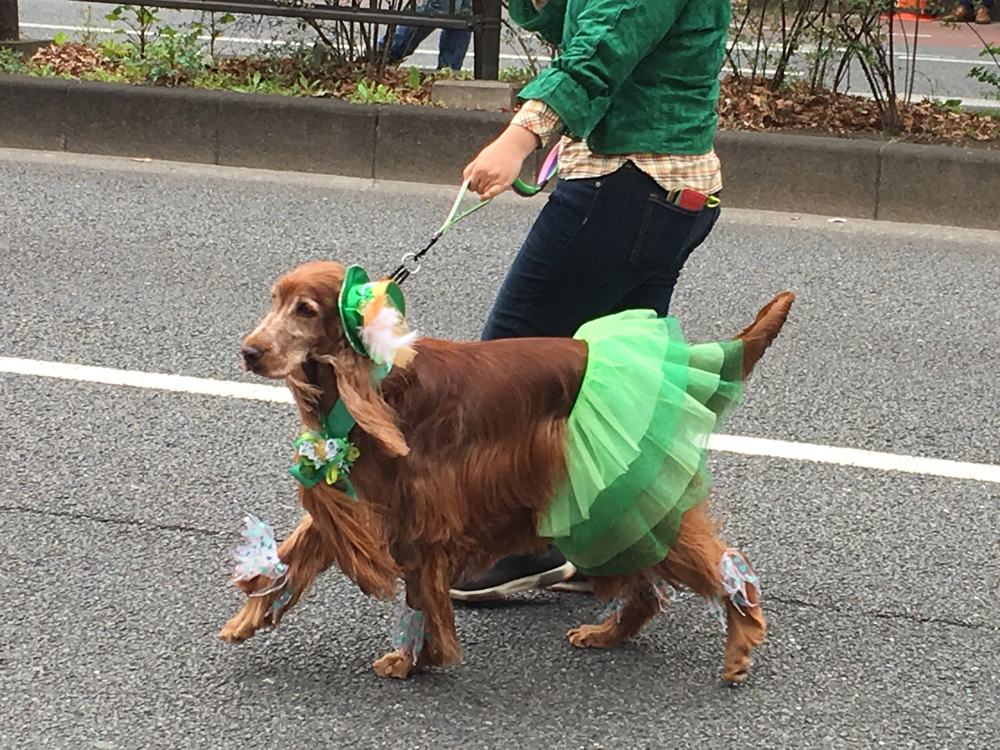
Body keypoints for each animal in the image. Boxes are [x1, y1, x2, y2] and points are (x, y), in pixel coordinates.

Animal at [220, 260, 794, 683]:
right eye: (274, 301)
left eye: (306, 309)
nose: (250, 351)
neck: (383, 384)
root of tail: (670, 369)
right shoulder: (373, 496)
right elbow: (292, 551)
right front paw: (246, 619)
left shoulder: (424, 520)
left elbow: (420, 595)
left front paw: (417, 660)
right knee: (648, 587)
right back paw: (606, 634)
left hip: (622, 492)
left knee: (719, 563)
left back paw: (740, 642)